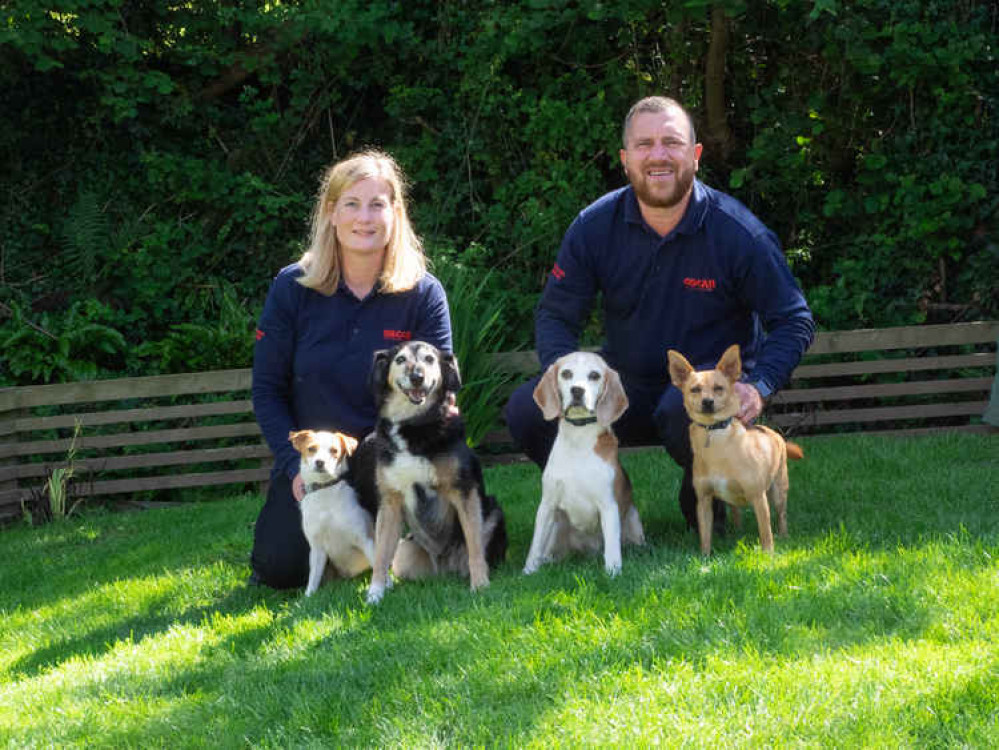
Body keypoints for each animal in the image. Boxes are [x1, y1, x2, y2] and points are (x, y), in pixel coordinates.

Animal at [294, 432, 380, 596]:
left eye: (334, 450)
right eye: (311, 448)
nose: (320, 462)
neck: (325, 495)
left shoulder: (365, 538)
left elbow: (378, 563)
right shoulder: (317, 548)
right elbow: (313, 578)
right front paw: (308, 597)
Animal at [352, 340, 508, 604]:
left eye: (429, 359)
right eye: (400, 360)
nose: (417, 377)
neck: (413, 426)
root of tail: (443, 568)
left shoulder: (464, 492)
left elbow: (475, 547)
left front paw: (480, 585)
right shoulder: (390, 503)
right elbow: (381, 554)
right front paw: (375, 592)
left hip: (493, 513)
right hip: (405, 550)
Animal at [524, 352, 648, 576]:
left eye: (594, 375)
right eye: (566, 373)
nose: (577, 390)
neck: (578, 440)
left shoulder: (608, 506)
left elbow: (612, 548)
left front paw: (613, 573)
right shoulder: (547, 505)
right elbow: (535, 545)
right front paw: (528, 571)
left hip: (633, 518)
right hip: (556, 526)